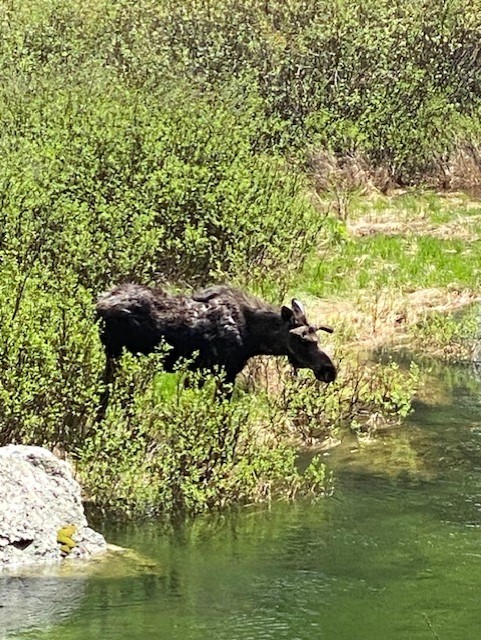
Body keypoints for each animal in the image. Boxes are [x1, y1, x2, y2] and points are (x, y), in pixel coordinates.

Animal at [95, 282, 336, 412]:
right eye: (303, 340)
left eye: (318, 338)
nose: (330, 370)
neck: (254, 337)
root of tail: (99, 305)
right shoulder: (222, 372)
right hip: (118, 356)